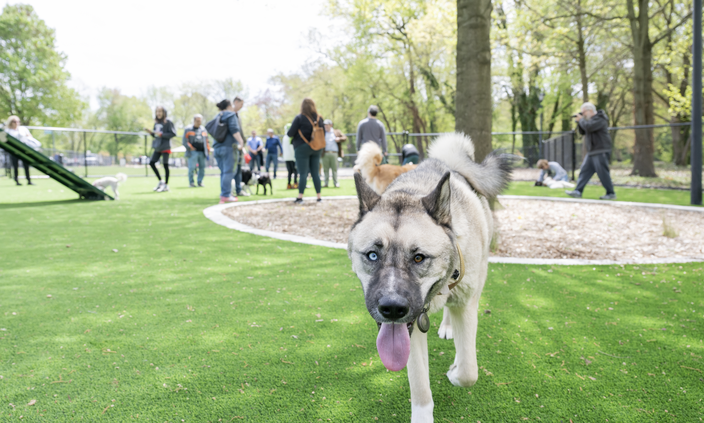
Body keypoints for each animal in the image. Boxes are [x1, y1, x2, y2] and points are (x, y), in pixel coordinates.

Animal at [348, 132, 508, 420]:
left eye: (419, 257)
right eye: (372, 255)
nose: (391, 309)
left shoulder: (466, 306)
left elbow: (469, 371)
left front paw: (455, 372)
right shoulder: (410, 329)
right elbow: (420, 385)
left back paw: (449, 329)